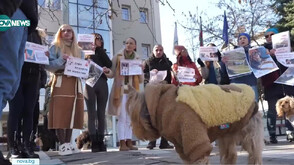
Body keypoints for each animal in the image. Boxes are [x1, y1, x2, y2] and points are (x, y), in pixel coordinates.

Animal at [126, 83, 264, 164]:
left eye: (131, 115)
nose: (132, 129)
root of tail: (255, 101)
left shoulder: (194, 137)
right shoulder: (183, 145)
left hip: (248, 133)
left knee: (254, 154)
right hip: (227, 132)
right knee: (230, 155)